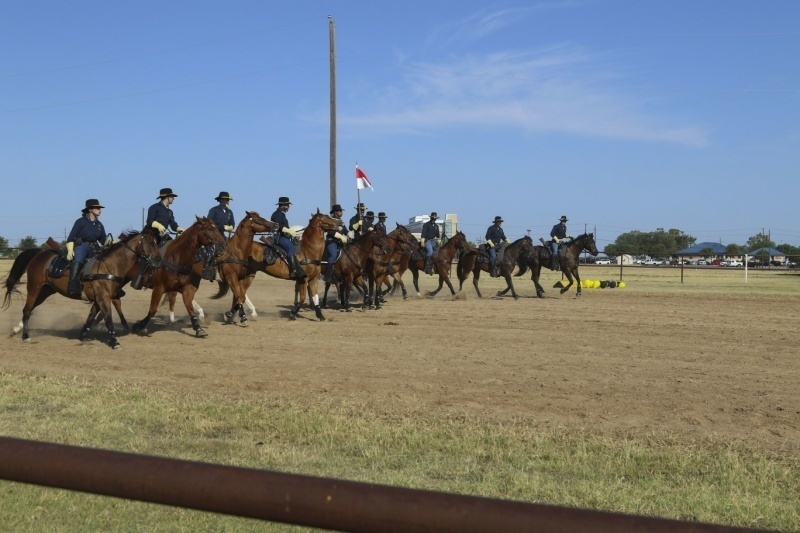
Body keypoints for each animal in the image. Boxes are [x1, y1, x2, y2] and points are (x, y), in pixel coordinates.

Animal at [2, 225, 162, 348]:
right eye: (150, 242)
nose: (159, 261)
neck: (109, 265)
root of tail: (39, 253)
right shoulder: (103, 298)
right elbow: (108, 318)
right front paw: (114, 342)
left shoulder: (99, 299)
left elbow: (91, 317)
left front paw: (83, 335)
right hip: (34, 288)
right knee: (27, 310)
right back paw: (25, 336)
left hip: (46, 291)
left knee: (30, 309)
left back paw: (15, 330)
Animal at [209, 211, 340, 320]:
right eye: (325, 217)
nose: (340, 222)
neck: (309, 251)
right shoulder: (303, 279)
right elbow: (302, 298)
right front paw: (293, 313)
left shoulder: (314, 279)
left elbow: (315, 297)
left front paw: (320, 315)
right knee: (240, 293)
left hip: (249, 275)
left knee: (240, 293)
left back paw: (234, 313)